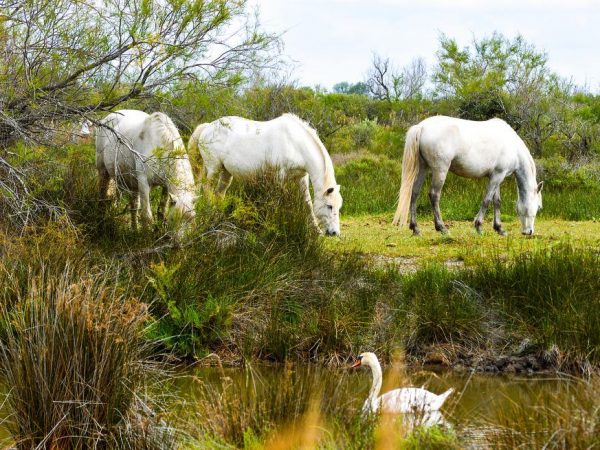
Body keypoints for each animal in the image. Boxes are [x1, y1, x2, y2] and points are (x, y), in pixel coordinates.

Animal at [190, 113, 344, 236]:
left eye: (338, 206)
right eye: (329, 206)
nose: (334, 233)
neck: (295, 143)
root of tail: (208, 127)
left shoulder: (301, 178)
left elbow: (307, 204)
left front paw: (316, 230)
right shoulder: (279, 176)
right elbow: (276, 201)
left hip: (226, 172)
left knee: (219, 193)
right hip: (213, 168)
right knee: (207, 189)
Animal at [392, 116, 540, 236]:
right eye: (538, 207)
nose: (528, 232)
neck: (512, 146)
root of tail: (421, 127)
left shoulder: (496, 176)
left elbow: (496, 201)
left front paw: (499, 228)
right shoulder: (497, 176)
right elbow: (486, 200)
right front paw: (478, 227)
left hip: (423, 168)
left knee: (414, 193)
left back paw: (415, 228)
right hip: (440, 170)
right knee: (434, 195)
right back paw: (442, 228)